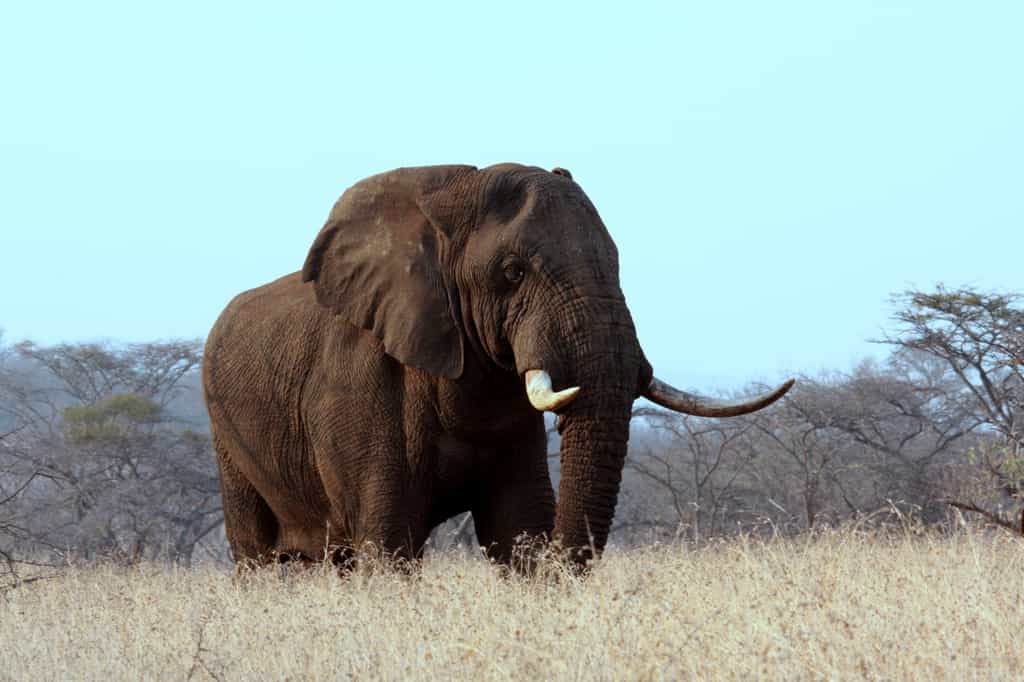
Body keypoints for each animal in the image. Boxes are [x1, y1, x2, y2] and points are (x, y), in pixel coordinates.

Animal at [202, 163, 793, 569]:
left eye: (616, 262)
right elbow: (388, 544)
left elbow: (519, 530)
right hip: (226, 437)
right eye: (512, 273)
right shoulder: (358, 388)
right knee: (258, 558)